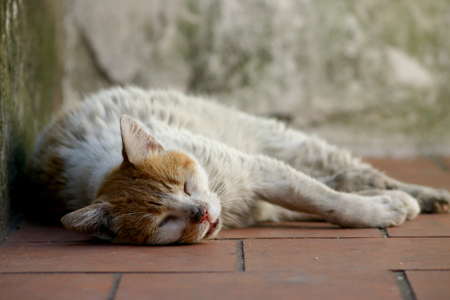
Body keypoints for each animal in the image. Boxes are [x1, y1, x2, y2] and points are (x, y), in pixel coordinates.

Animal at [28, 86, 450, 244]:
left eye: (185, 185)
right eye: (165, 222)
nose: (200, 213)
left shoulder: (260, 170)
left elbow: (328, 200)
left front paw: (382, 209)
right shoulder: (264, 199)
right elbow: (323, 199)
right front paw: (381, 207)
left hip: (288, 143)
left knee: (354, 172)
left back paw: (425, 195)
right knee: (345, 176)